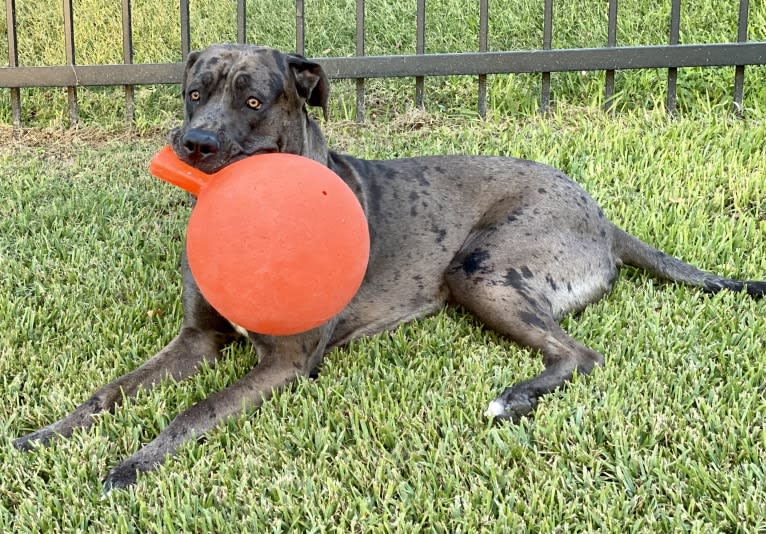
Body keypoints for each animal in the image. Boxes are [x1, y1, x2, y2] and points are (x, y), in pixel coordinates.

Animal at [13, 44, 766, 492]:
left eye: (253, 101)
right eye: (195, 92)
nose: (193, 143)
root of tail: (600, 215)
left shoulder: (287, 362)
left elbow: (195, 411)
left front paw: (132, 463)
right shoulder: (197, 339)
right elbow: (108, 392)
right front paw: (49, 434)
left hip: (481, 270)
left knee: (581, 355)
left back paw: (514, 398)